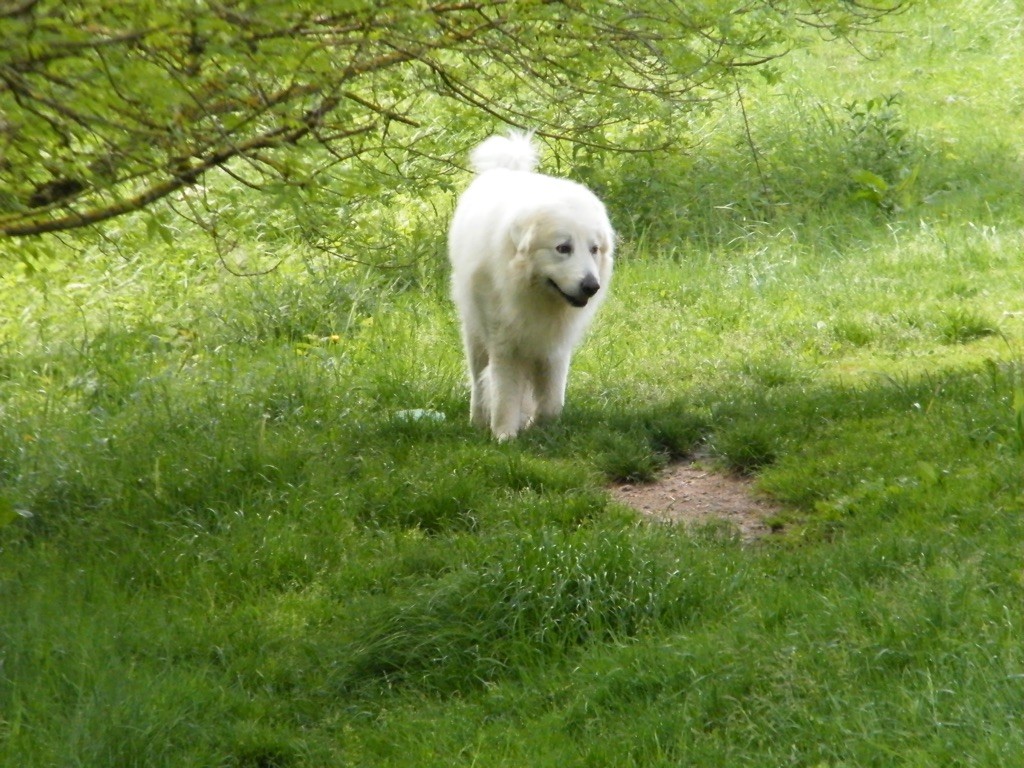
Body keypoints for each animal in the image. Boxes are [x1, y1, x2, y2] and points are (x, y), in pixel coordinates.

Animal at [448, 134, 614, 438]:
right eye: (563, 248)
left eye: (594, 249)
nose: (591, 286)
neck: (532, 292)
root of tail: (505, 169)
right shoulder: (504, 344)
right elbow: (504, 394)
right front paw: (504, 435)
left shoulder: (554, 348)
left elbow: (551, 400)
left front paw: (543, 429)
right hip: (475, 333)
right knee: (478, 380)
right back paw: (478, 420)